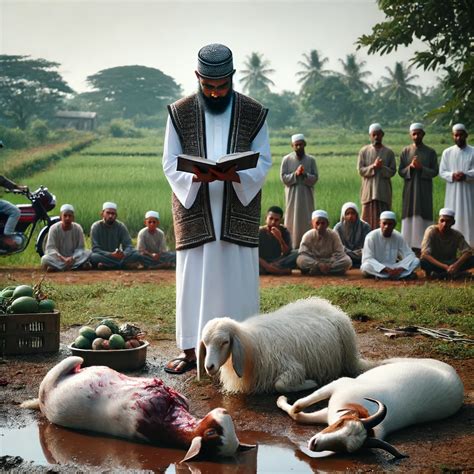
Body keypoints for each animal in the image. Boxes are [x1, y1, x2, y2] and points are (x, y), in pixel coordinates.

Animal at [196, 298, 374, 394]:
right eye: (205, 343)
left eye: (225, 342)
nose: (209, 366)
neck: (250, 344)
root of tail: (330, 306)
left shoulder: (291, 366)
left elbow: (280, 385)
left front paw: (310, 383)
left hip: (348, 355)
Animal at [276, 360, 464, 460]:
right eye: (341, 423)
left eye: (346, 449)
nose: (314, 444)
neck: (365, 409)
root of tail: (455, 377)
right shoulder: (339, 386)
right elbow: (298, 406)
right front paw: (281, 399)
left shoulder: (331, 411)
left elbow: (298, 415)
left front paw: (282, 401)